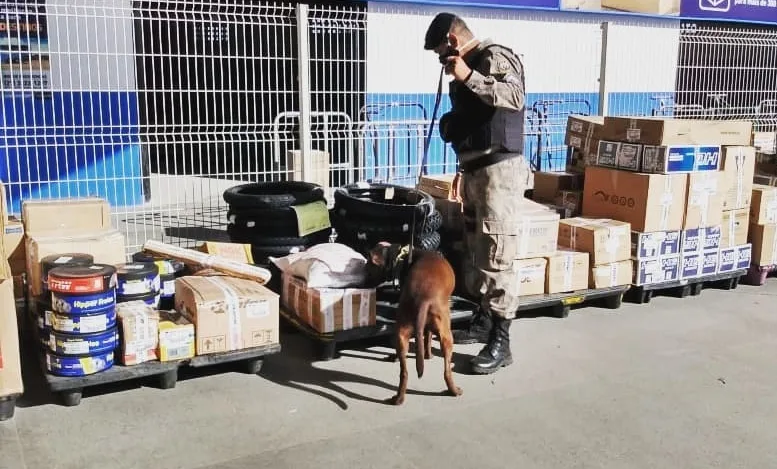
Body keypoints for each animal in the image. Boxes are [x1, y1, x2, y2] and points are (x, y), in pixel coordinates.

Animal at [368, 239, 460, 404]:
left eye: (368, 266)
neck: (400, 257)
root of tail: (424, 297)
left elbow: (426, 337)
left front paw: (427, 354)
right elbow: (428, 338)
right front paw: (429, 355)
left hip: (401, 333)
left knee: (404, 371)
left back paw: (398, 398)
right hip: (447, 335)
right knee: (447, 370)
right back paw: (454, 391)